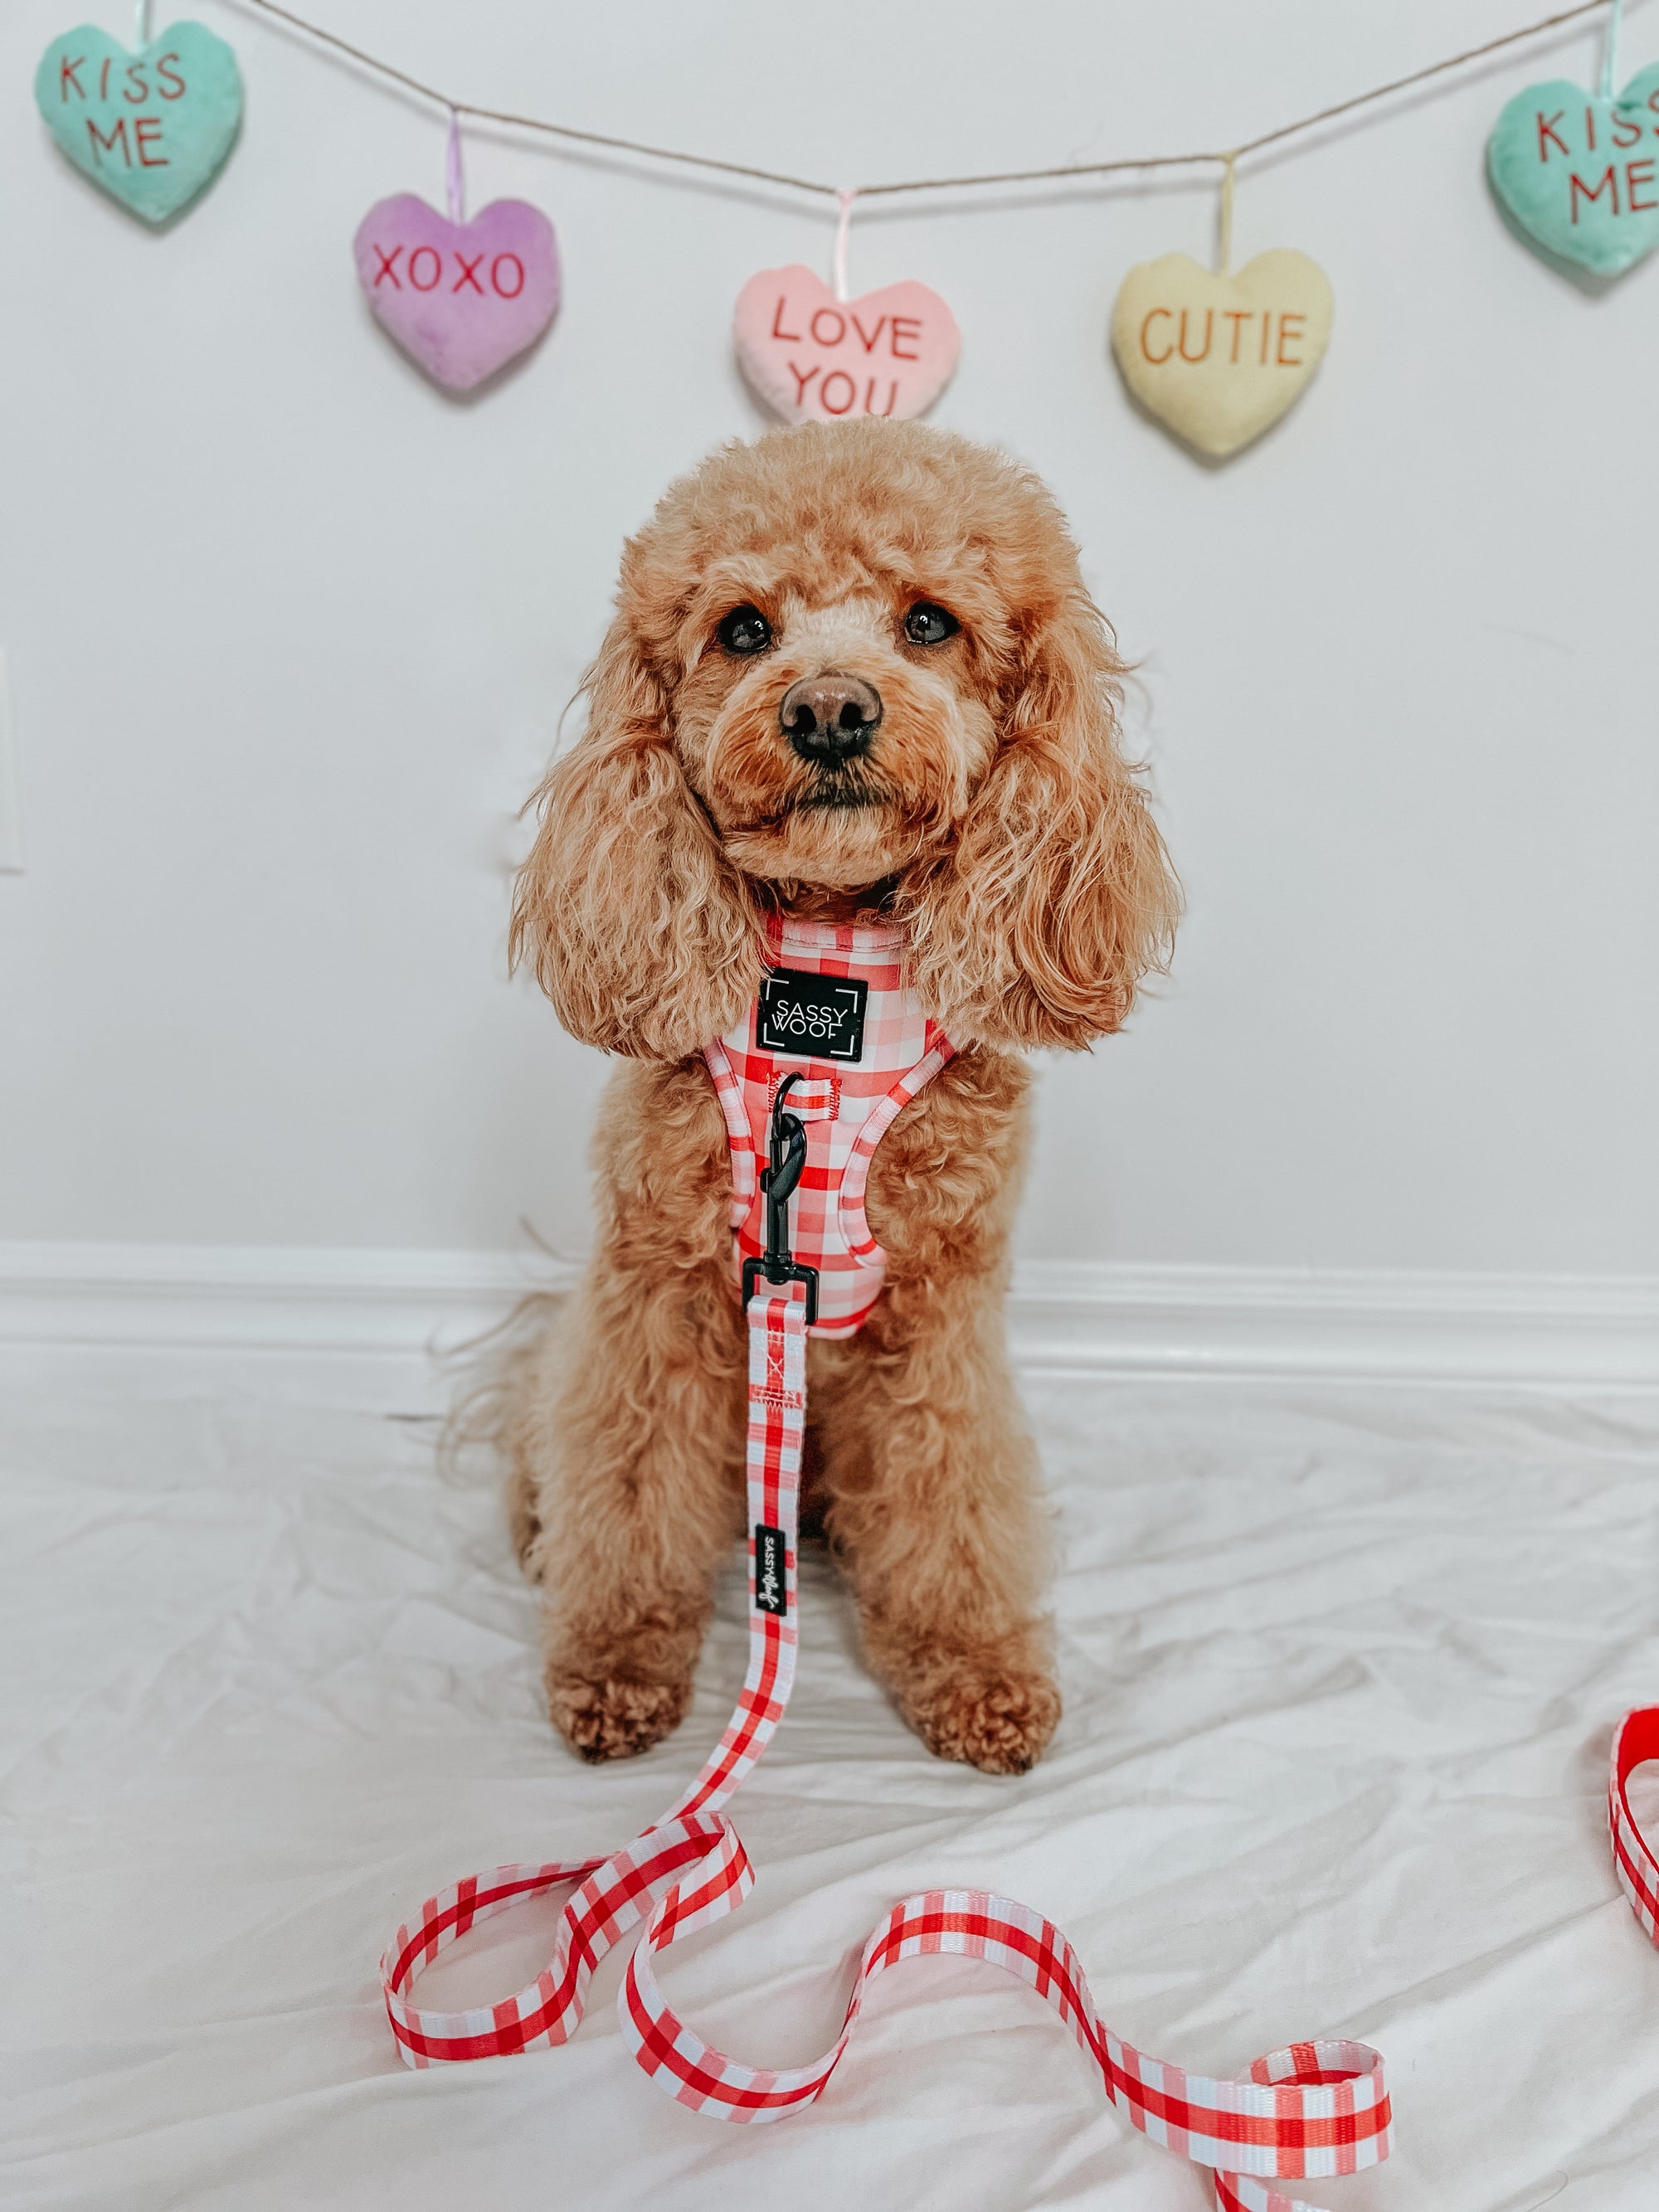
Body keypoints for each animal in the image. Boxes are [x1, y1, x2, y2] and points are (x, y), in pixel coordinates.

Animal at [499, 418, 1176, 1778]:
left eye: (929, 622)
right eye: (743, 629)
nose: (827, 707)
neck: (828, 986)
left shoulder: (938, 1322)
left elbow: (951, 1501)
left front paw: (977, 1673)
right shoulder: (656, 1302)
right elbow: (629, 1486)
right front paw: (615, 1664)